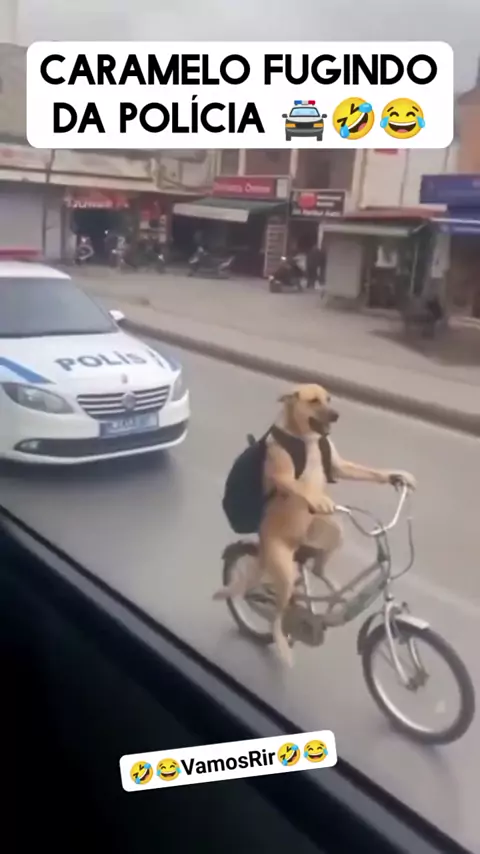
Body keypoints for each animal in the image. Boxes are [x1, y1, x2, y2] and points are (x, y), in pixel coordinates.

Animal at [214, 383, 416, 666]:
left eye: (329, 398)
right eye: (313, 401)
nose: (336, 415)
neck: (305, 438)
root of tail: (265, 548)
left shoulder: (339, 464)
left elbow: (360, 470)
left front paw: (397, 476)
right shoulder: (281, 471)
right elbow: (295, 484)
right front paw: (316, 499)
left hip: (331, 533)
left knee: (316, 569)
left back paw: (332, 587)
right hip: (283, 572)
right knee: (275, 608)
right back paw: (281, 639)